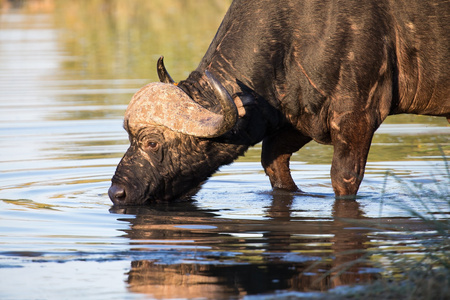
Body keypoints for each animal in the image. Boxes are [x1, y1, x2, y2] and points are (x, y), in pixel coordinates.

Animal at [108, 0, 446, 206]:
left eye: (152, 143)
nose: (117, 193)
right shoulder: (296, 119)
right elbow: (274, 166)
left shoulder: (356, 117)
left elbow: (343, 179)